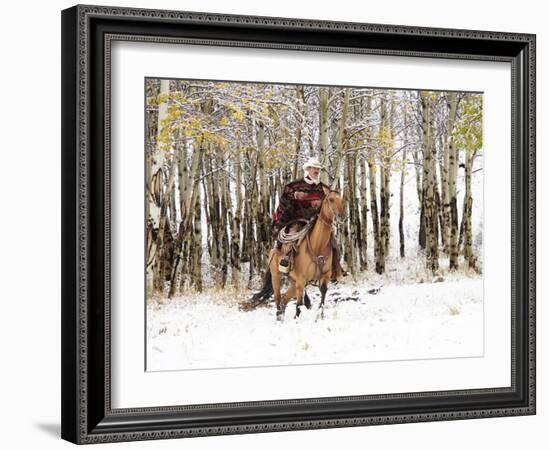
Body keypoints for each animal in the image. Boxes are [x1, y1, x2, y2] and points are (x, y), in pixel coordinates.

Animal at [253, 188, 348, 322]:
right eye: (331, 199)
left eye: (342, 200)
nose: (342, 216)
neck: (318, 245)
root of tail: (273, 250)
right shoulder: (301, 280)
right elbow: (299, 305)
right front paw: (297, 320)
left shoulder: (324, 277)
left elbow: (322, 297)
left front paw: (320, 316)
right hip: (276, 277)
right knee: (278, 299)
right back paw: (279, 319)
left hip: (293, 281)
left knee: (284, 300)